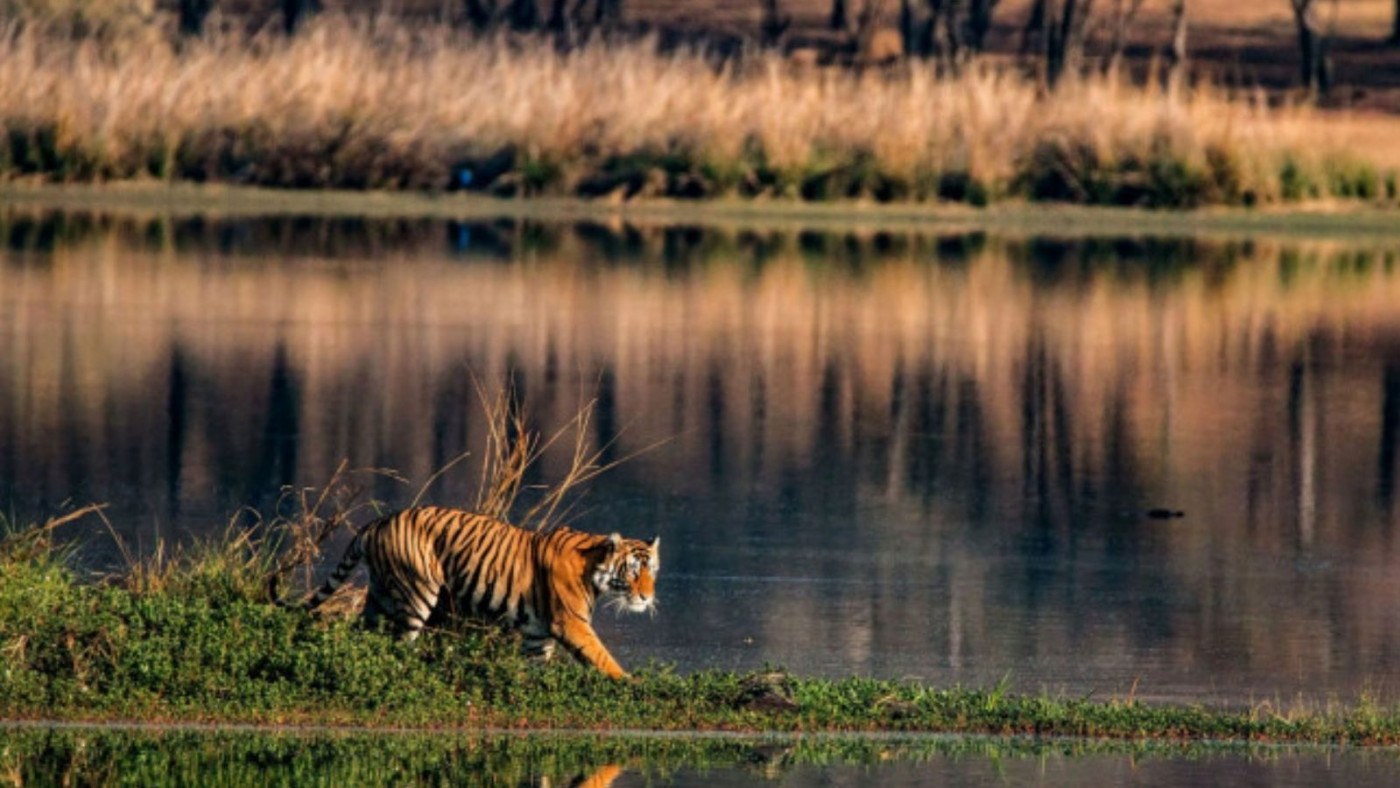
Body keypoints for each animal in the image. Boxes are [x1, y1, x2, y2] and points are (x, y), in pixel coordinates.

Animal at [297, 506, 659, 679]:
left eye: (651, 571)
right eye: (633, 572)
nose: (647, 597)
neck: (595, 569)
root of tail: (378, 522)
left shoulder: (538, 635)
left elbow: (534, 670)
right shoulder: (571, 623)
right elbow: (602, 657)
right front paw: (631, 682)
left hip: (380, 596)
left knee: (363, 635)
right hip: (416, 593)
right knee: (400, 644)